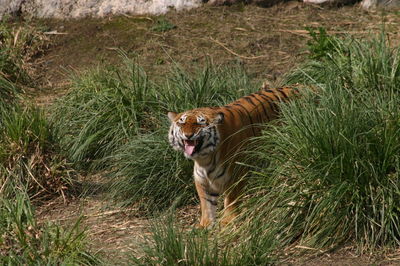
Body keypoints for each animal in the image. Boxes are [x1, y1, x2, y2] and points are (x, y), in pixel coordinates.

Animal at [167, 84, 302, 228]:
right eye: (182, 123)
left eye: (200, 123)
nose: (188, 135)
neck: (205, 159)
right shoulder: (202, 180)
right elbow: (206, 204)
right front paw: (205, 225)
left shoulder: (236, 175)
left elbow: (231, 199)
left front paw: (228, 221)